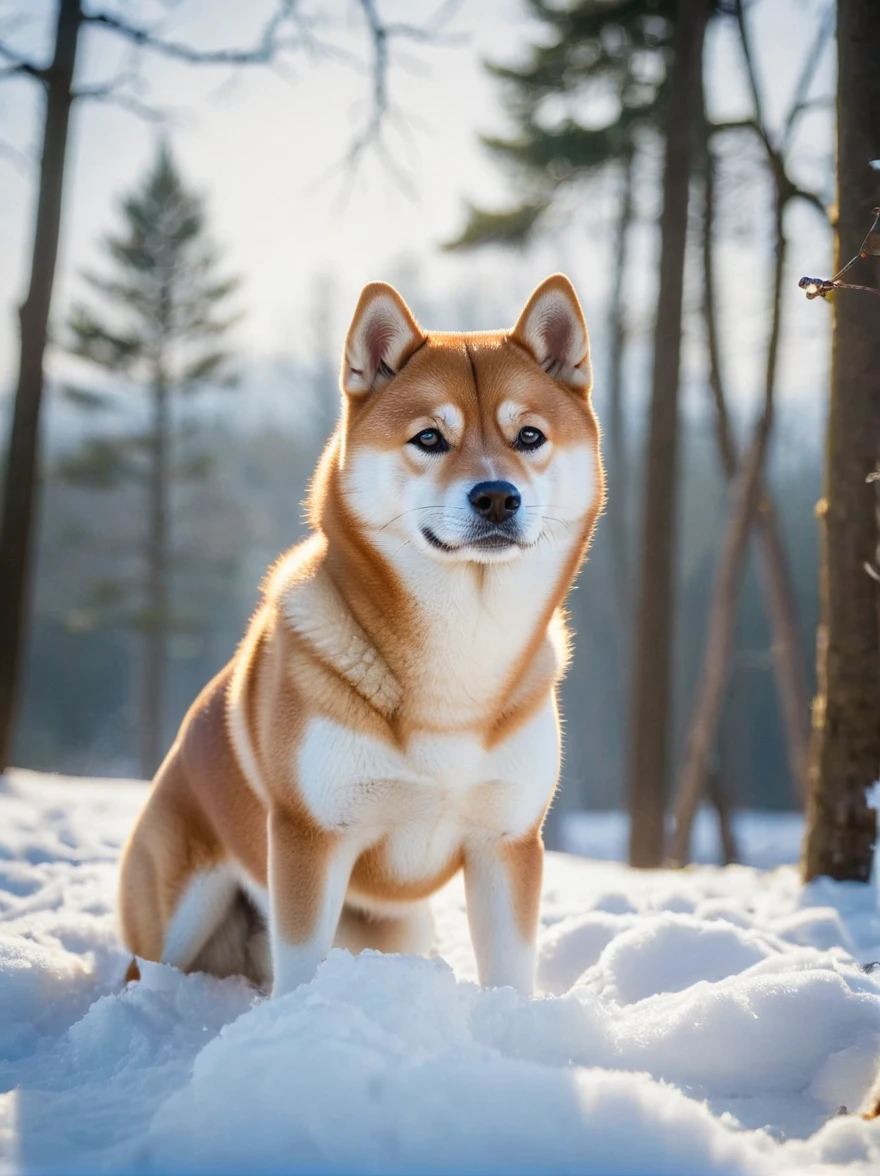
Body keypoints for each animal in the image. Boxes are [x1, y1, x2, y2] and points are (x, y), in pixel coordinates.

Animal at [118, 272, 607, 992]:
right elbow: (299, 971)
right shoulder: (311, 837)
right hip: (178, 912)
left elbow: (510, 973)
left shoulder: (507, 841)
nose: (496, 496)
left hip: (400, 928)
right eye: (429, 438)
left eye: (529, 436)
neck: (460, 658)